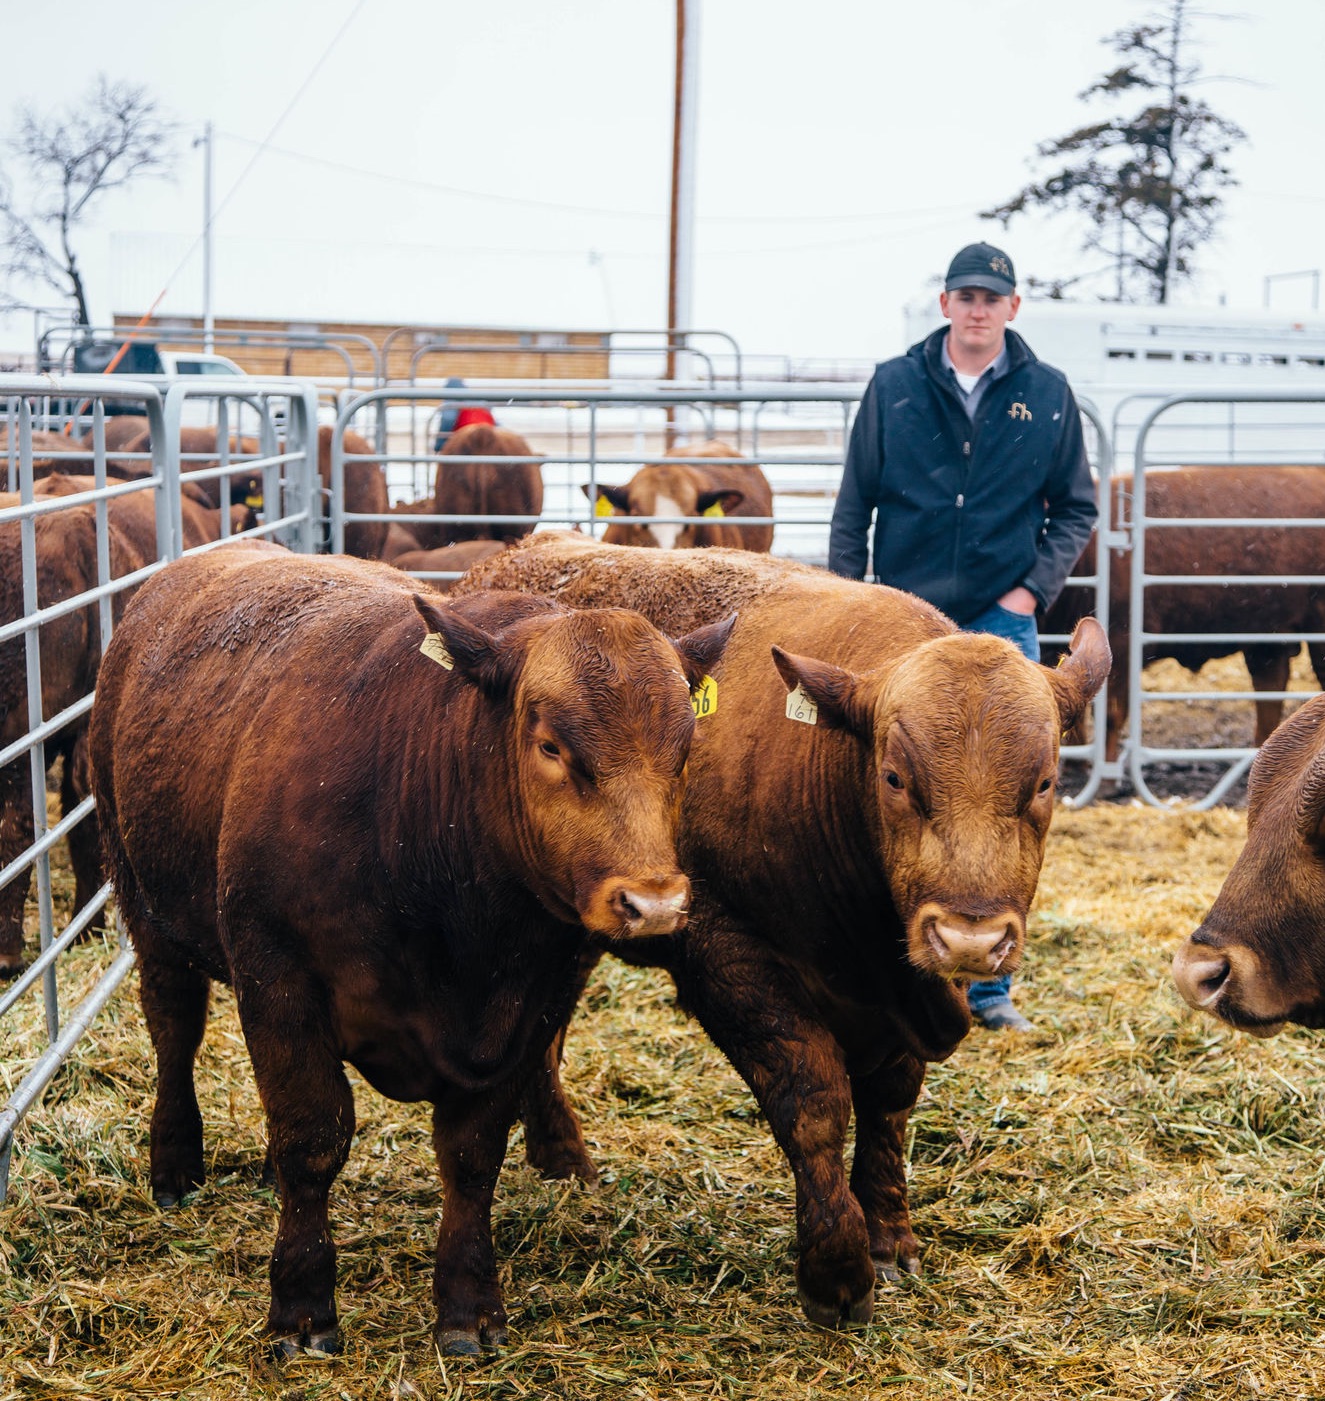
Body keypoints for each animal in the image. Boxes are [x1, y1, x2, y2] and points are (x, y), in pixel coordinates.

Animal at [90, 546, 733, 1356]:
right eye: (550, 745)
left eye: (683, 750)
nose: (653, 902)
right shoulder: (278, 977)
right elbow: (312, 1135)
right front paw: (302, 1305)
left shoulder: (530, 1004)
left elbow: (471, 1152)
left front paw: (467, 1305)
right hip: (142, 899)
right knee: (174, 1028)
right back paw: (174, 1163)